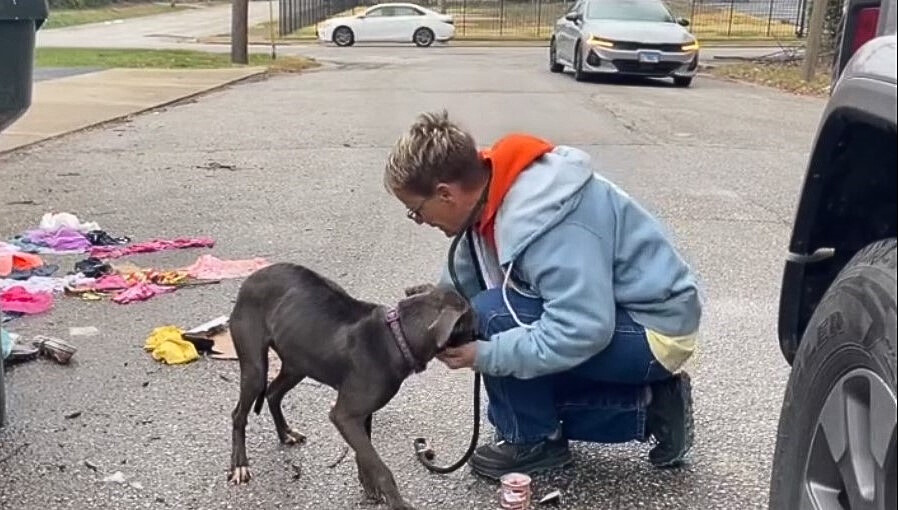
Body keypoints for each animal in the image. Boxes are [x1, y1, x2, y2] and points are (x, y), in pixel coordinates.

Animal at [228, 262, 472, 510]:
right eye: (472, 319)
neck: (396, 337)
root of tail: (250, 279)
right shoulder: (344, 415)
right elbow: (378, 465)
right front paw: (397, 503)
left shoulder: (362, 414)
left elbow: (364, 454)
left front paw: (369, 486)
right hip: (256, 368)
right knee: (239, 414)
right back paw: (239, 465)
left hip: (297, 364)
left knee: (273, 393)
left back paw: (286, 434)